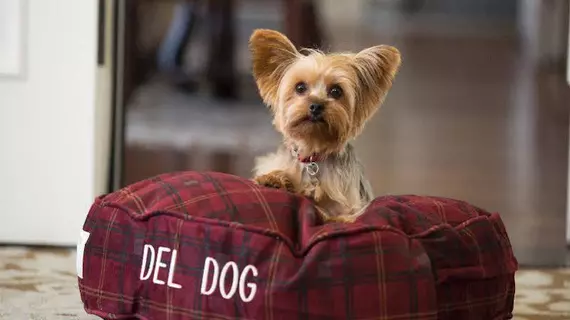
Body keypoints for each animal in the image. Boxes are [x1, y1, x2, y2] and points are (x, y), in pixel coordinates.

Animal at [248, 28, 400, 221]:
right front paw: (274, 179)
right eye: (300, 87)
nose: (316, 105)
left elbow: (333, 213)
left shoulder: (349, 209)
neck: (312, 154)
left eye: (336, 91)